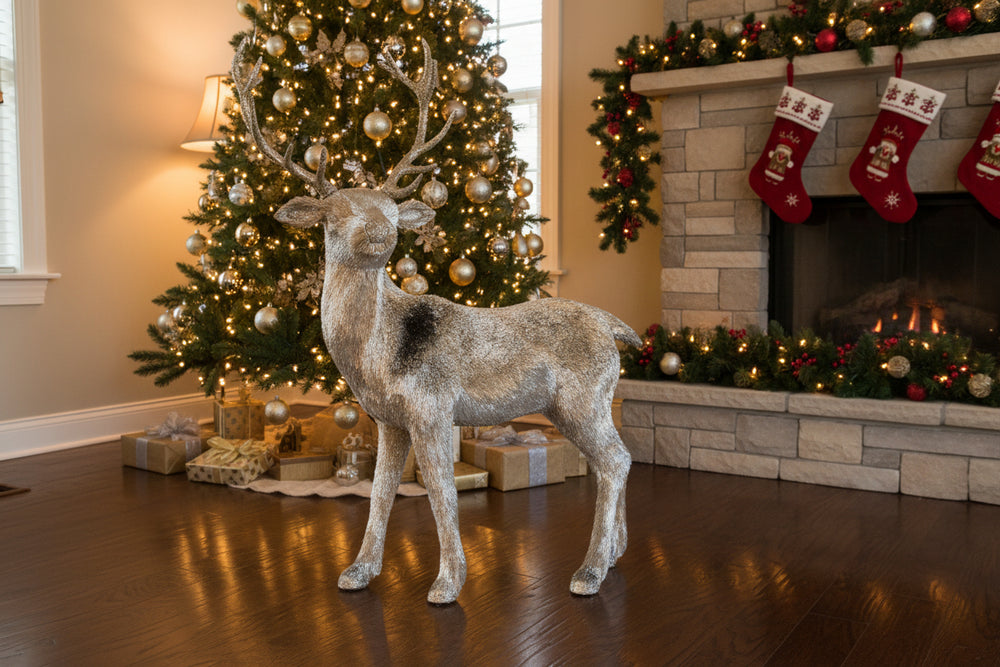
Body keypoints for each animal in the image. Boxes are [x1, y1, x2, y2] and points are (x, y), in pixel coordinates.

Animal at [232, 37, 640, 605]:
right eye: (335, 213)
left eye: (390, 208)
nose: (382, 231)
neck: (373, 359)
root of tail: (613, 326)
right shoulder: (388, 418)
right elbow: (380, 491)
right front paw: (357, 572)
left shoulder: (431, 407)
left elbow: (440, 492)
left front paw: (447, 584)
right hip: (578, 404)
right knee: (618, 461)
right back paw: (615, 555)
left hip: (583, 397)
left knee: (614, 461)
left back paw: (589, 572)